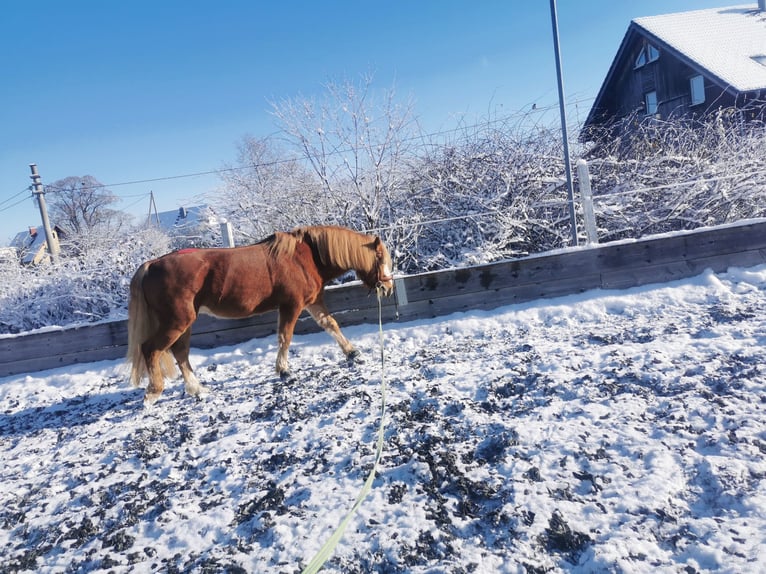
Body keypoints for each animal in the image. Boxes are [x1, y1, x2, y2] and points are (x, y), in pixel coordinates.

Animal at [127, 227, 396, 408]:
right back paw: (153, 392)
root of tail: (151, 265)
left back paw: (196, 389)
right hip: (176, 322)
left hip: (184, 323)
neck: (305, 257)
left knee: (180, 353)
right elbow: (285, 337)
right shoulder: (292, 306)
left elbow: (331, 324)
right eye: (380, 258)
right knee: (151, 348)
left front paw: (352, 353)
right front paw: (284, 370)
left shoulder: (313, 301)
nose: (388, 288)